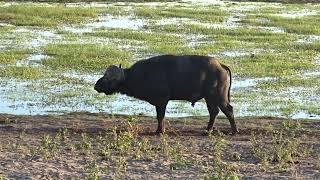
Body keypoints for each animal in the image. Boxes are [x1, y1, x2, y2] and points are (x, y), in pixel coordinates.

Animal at [94, 54, 239, 135]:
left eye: (111, 79)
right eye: (104, 75)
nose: (96, 85)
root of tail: (221, 66)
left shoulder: (161, 101)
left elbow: (160, 117)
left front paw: (159, 131)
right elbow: (160, 117)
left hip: (218, 96)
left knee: (228, 110)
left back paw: (234, 131)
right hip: (210, 98)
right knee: (214, 112)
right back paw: (207, 130)